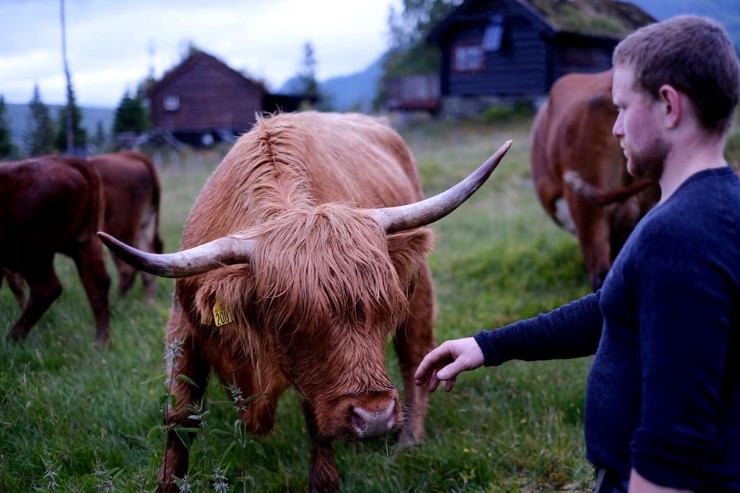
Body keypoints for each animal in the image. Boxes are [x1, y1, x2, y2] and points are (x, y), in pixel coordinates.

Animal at [0, 156, 110, 344]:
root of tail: (68, 161)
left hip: (31, 253)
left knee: (46, 288)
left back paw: (12, 338)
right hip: (85, 243)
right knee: (98, 284)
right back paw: (101, 343)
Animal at [88, 150, 163, 300]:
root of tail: (132, 154)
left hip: (118, 227)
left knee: (127, 268)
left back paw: (119, 302)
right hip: (144, 224)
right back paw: (149, 302)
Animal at [98, 109, 512, 490]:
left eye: (384, 310)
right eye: (292, 321)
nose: (375, 416)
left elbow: (317, 425)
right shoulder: (185, 328)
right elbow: (179, 419)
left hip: (419, 287)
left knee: (416, 356)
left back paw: (409, 440)